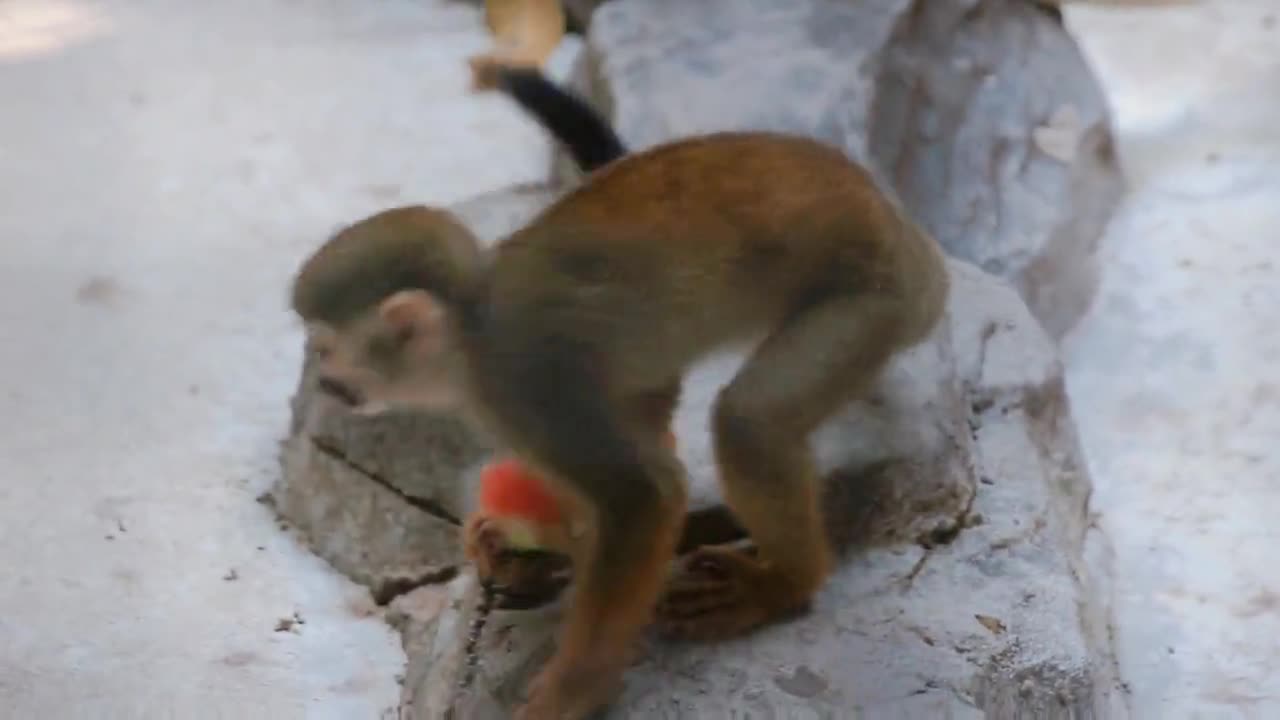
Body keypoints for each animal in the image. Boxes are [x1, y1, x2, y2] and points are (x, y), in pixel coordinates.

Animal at [290, 131, 952, 712]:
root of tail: (894, 222)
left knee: (750, 421)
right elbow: (646, 419)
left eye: (325, 349)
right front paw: (524, 540)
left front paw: (571, 692)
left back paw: (786, 581)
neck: (469, 335)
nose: (323, 381)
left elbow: (643, 495)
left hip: (869, 299)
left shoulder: (523, 380)